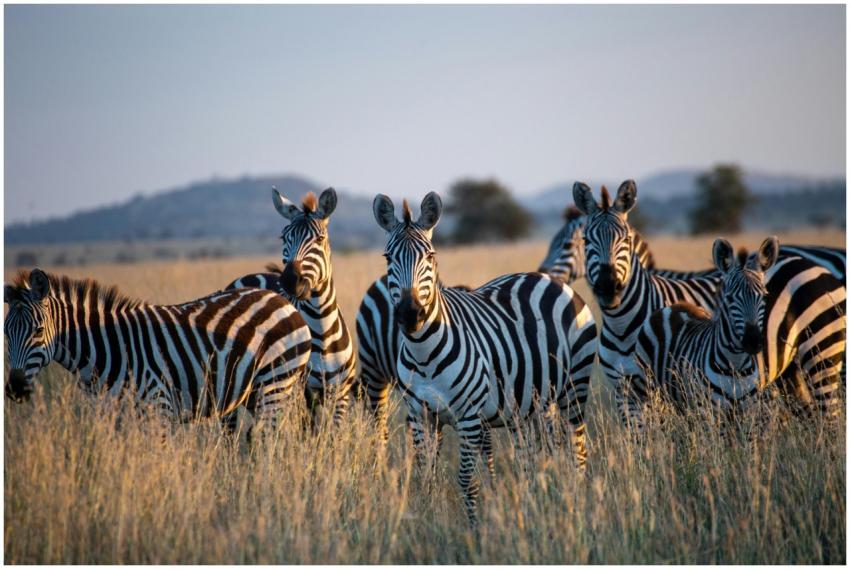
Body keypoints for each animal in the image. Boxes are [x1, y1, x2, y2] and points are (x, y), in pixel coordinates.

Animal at [4, 269, 312, 434]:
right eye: (5, 334)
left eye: (38, 331)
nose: (15, 389)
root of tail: (281, 299)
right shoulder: (109, 417)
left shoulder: (158, 408)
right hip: (253, 392)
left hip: (275, 383)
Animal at [231, 187, 358, 428]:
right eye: (284, 237)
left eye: (320, 238)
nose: (290, 280)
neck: (322, 329)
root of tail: (250, 276)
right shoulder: (301, 394)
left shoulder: (341, 394)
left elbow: (334, 433)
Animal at [372, 191, 598, 525]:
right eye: (388, 258)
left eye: (430, 257)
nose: (411, 315)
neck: (423, 353)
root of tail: (550, 280)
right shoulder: (420, 415)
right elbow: (427, 477)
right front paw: (429, 522)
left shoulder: (468, 416)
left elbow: (467, 479)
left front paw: (474, 529)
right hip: (533, 404)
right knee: (534, 458)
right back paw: (535, 505)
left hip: (574, 388)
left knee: (577, 451)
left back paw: (578, 505)